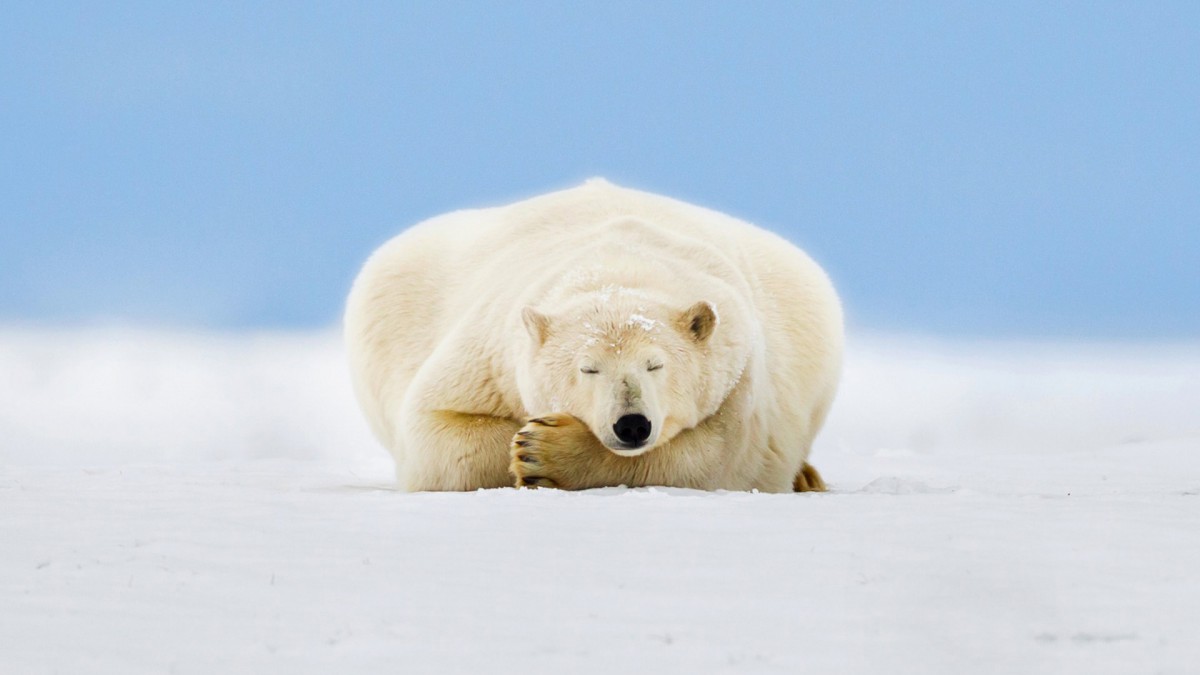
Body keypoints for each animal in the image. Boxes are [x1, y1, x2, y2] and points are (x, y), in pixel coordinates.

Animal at [344, 179, 843, 492]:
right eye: (588, 368)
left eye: (656, 365)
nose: (632, 423)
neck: (618, 264)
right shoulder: (488, 355)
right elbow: (434, 432)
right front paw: (526, 442)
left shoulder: (740, 375)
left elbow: (719, 457)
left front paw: (545, 452)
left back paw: (808, 478)